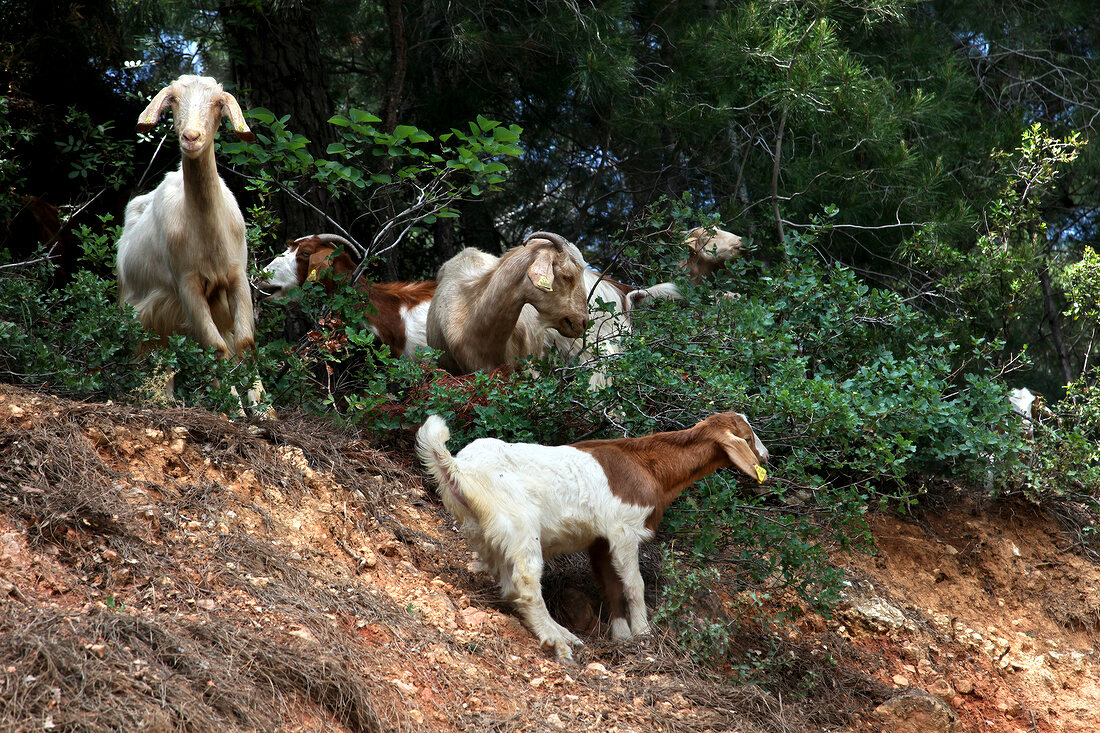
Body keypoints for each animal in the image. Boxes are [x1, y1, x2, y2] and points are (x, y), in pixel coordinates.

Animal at [415, 411, 770, 655]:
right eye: (748, 436)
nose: (766, 455)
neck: (649, 465)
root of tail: (457, 468)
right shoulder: (624, 529)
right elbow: (635, 585)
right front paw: (643, 634)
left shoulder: (601, 540)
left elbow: (611, 585)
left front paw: (621, 636)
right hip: (519, 524)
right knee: (526, 583)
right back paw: (558, 638)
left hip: (484, 530)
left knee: (508, 583)